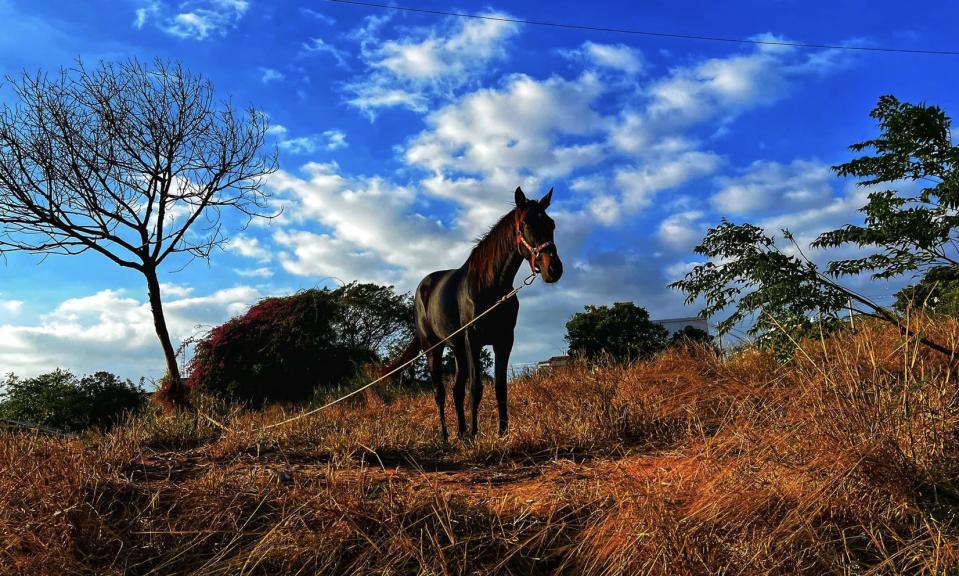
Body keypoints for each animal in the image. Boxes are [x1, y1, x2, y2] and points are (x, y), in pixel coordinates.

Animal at [384, 187, 564, 438]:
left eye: (551, 223)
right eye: (526, 223)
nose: (554, 269)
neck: (491, 286)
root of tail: (424, 286)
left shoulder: (504, 340)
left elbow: (499, 387)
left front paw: (502, 433)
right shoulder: (474, 338)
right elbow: (476, 387)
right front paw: (475, 432)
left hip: (457, 348)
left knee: (456, 389)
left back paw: (461, 434)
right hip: (433, 348)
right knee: (440, 392)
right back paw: (446, 435)